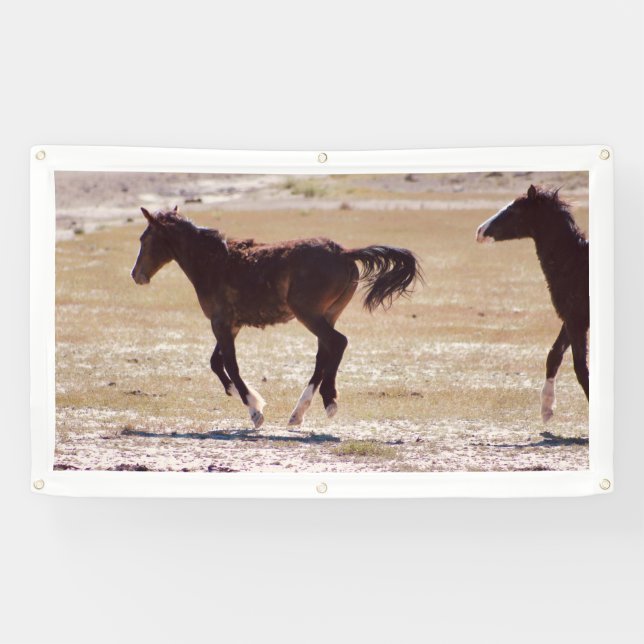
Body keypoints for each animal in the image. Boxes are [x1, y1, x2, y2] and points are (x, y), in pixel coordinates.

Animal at [131, 207, 422, 429]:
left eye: (145, 239)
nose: (136, 275)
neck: (214, 263)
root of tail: (344, 252)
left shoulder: (220, 323)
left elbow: (230, 365)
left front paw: (255, 411)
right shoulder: (231, 325)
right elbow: (216, 362)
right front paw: (239, 393)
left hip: (309, 314)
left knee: (338, 343)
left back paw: (329, 401)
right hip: (328, 315)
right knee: (324, 355)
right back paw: (298, 413)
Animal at [475, 185, 589, 421]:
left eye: (514, 210)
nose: (480, 231)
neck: (575, 263)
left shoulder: (576, 320)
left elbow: (580, 368)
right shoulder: (571, 318)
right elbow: (554, 355)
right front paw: (546, 409)